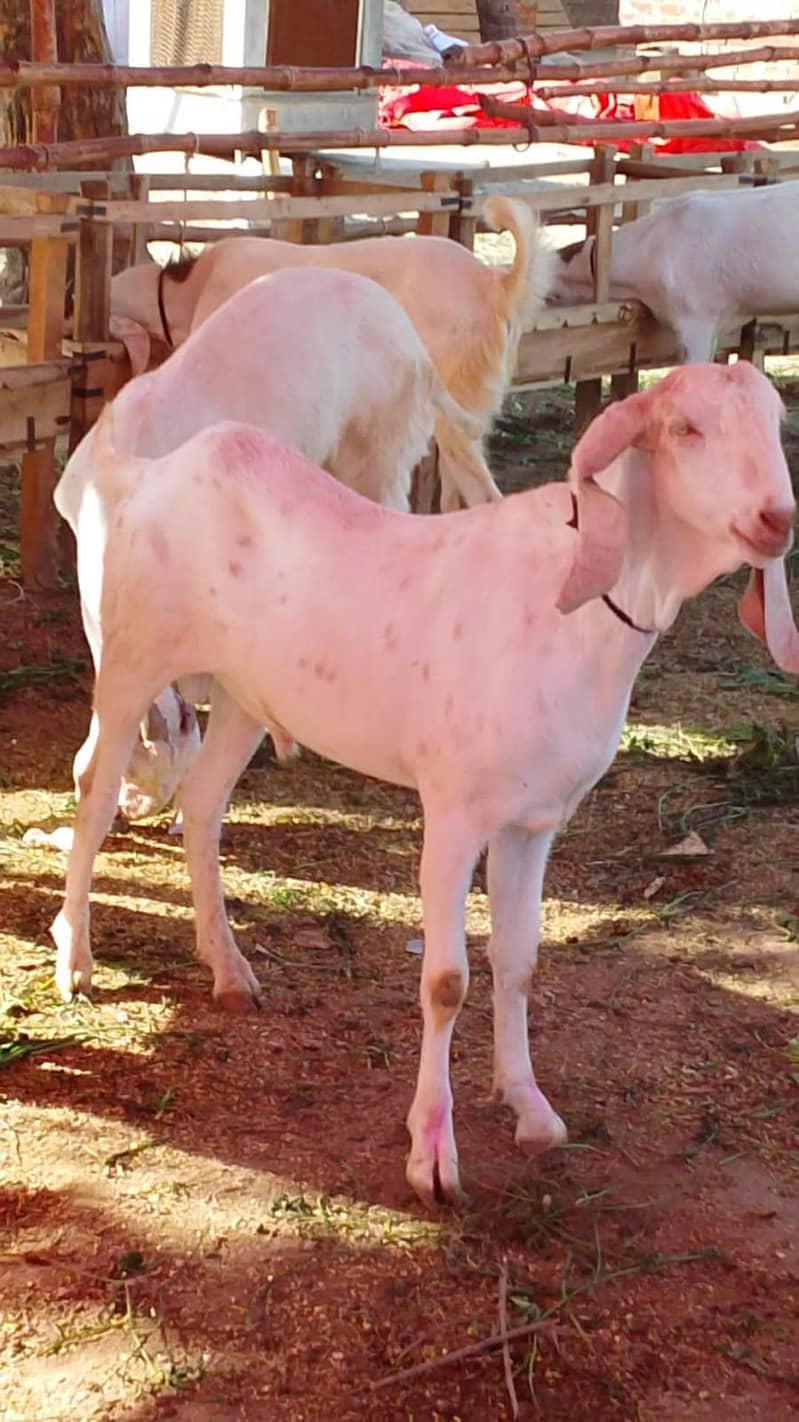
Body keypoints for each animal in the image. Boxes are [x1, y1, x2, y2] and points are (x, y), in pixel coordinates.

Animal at [50, 361, 798, 1205]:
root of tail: (144, 473)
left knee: (204, 805)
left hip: (247, 693)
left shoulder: (532, 820)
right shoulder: (452, 813)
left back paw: (229, 968)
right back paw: (75, 958)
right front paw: (432, 1155)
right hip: (129, 661)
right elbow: (445, 981)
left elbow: (519, 962)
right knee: (94, 789)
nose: (775, 519)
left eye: (773, 423)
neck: (576, 607)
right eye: (684, 428)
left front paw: (528, 1106)